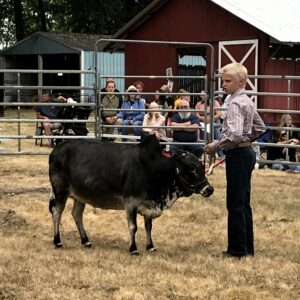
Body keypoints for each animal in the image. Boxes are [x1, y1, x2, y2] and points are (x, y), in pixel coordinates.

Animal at [48, 135, 213, 254]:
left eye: (201, 166)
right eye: (191, 167)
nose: (209, 189)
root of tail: (57, 149)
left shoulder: (148, 204)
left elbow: (148, 226)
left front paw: (150, 246)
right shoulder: (130, 202)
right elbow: (133, 227)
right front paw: (133, 249)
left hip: (80, 195)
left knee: (76, 214)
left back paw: (86, 240)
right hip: (60, 191)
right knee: (57, 212)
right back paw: (57, 241)